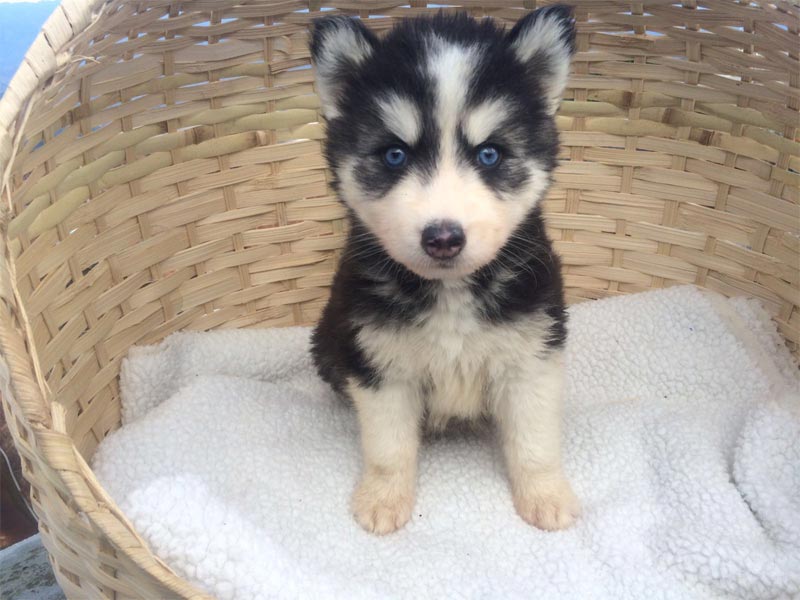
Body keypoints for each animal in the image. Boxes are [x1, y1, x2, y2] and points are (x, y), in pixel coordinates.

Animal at [310, 8, 580, 536]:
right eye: (395, 154)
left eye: (489, 154)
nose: (442, 238)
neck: (450, 290)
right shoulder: (379, 366)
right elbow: (389, 447)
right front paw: (383, 498)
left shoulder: (532, 358)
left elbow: (534, 441)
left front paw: (545, 495)